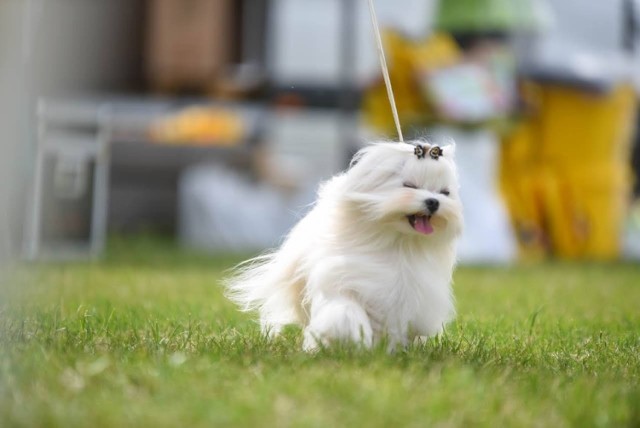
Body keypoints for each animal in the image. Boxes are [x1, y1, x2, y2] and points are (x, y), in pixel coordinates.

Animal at [225, 142, 460, 350]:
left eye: (444, 192)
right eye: (409, 186)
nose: (433, 202)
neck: (397, 243)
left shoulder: (410, 297)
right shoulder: (341, 279)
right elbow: (345, 310)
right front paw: (351, 336)